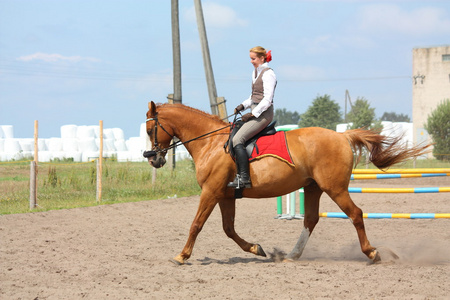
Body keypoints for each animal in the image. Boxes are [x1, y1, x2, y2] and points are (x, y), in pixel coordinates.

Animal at [144, 101, 428, 264]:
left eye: (149, 130)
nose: (153, 158)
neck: (211, 143)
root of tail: (342, 136)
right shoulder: (224, 195)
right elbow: (228, 229)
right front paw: (257, 249)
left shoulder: (210, 192)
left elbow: (196, 225)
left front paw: (182, 256)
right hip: (313, 188)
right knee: (311, 219)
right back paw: (292, 255)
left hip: (335, 188)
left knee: (356, 214)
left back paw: (372, 253)